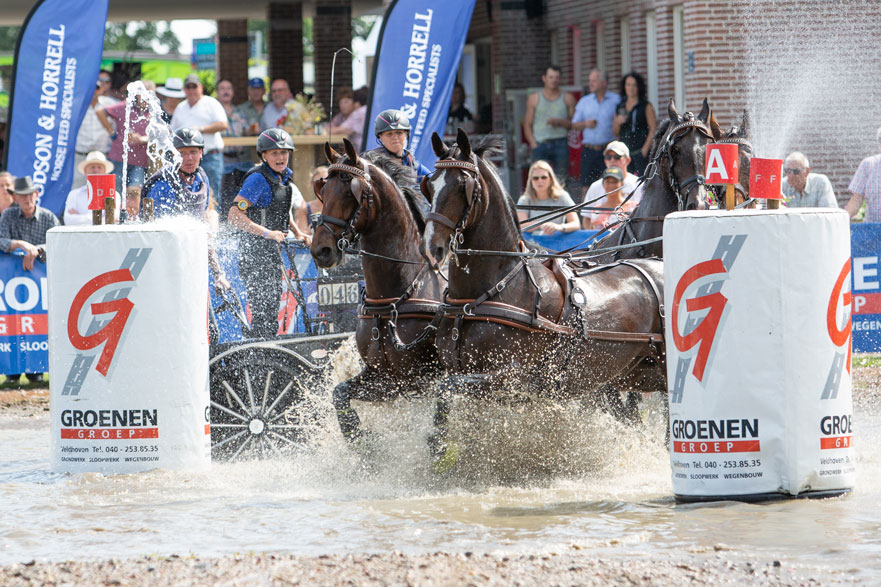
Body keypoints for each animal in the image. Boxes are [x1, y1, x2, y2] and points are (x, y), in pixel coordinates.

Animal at [312, 138, 444, 440]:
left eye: (350, 192)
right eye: (322, 190)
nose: (320, 250)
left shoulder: (423, 379)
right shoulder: (385, 379)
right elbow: (339, 394)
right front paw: (362, 439)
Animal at [422, 131, 664, 418]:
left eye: (463, 186)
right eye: (429, 186)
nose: (431, 247)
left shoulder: (514, 378)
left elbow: (445, 387)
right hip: (636, 372)